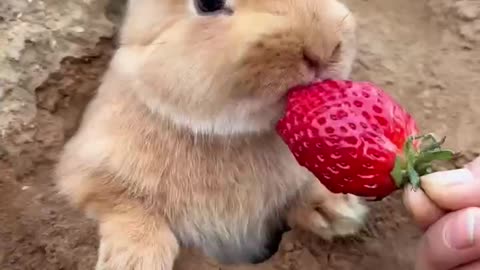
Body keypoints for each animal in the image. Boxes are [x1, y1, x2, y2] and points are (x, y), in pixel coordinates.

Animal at [56, 0, 370, 268]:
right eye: (208, 4)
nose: (325, 48)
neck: (228, 132)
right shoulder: (87, 170)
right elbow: (122, 205)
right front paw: (135, 259)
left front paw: (336, 211)